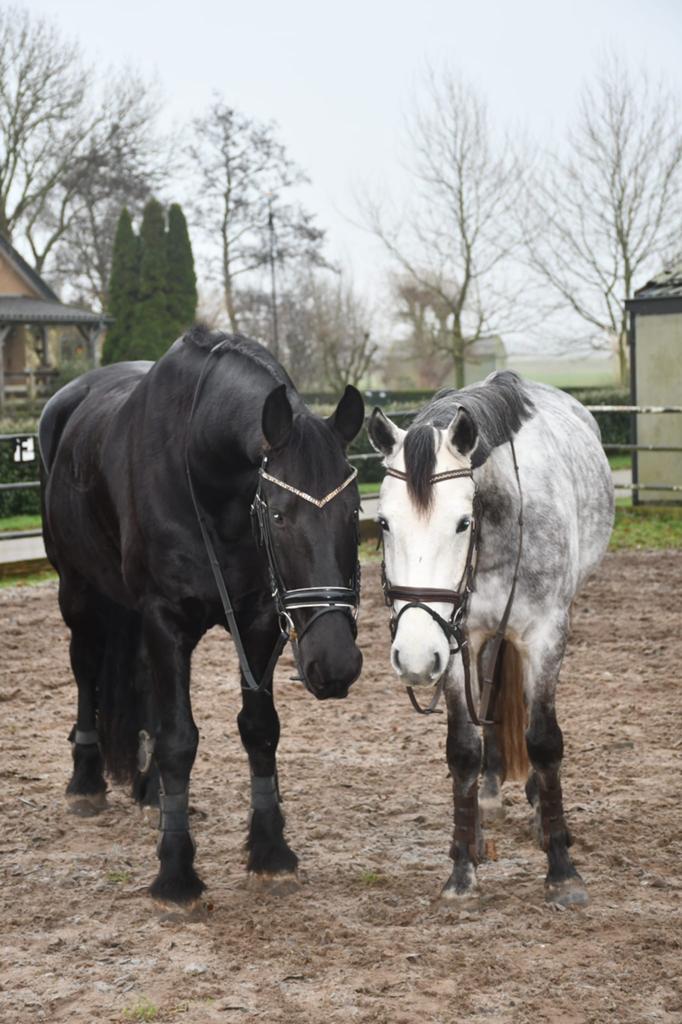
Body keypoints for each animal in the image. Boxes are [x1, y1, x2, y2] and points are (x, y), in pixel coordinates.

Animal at [39, 326, 365, 905]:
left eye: (355, 513)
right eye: (279, 516)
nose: (336, 663)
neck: (203, 467)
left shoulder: (258, 620)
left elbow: (259, 729)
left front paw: (270, 852)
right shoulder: (165, 619)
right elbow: (179, 740)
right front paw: (176, 873)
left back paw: (151, 792)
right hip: (77, 591)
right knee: (85, 667)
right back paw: (86, 782)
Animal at [368, 371, 614, 907]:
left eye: (463, 522)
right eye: (383, 523)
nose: (413, 657)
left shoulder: (544, 635)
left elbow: (544, 741)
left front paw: (562, 869)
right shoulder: (453, 638)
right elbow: (463, 748)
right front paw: (462, 867)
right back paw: (488, 796)